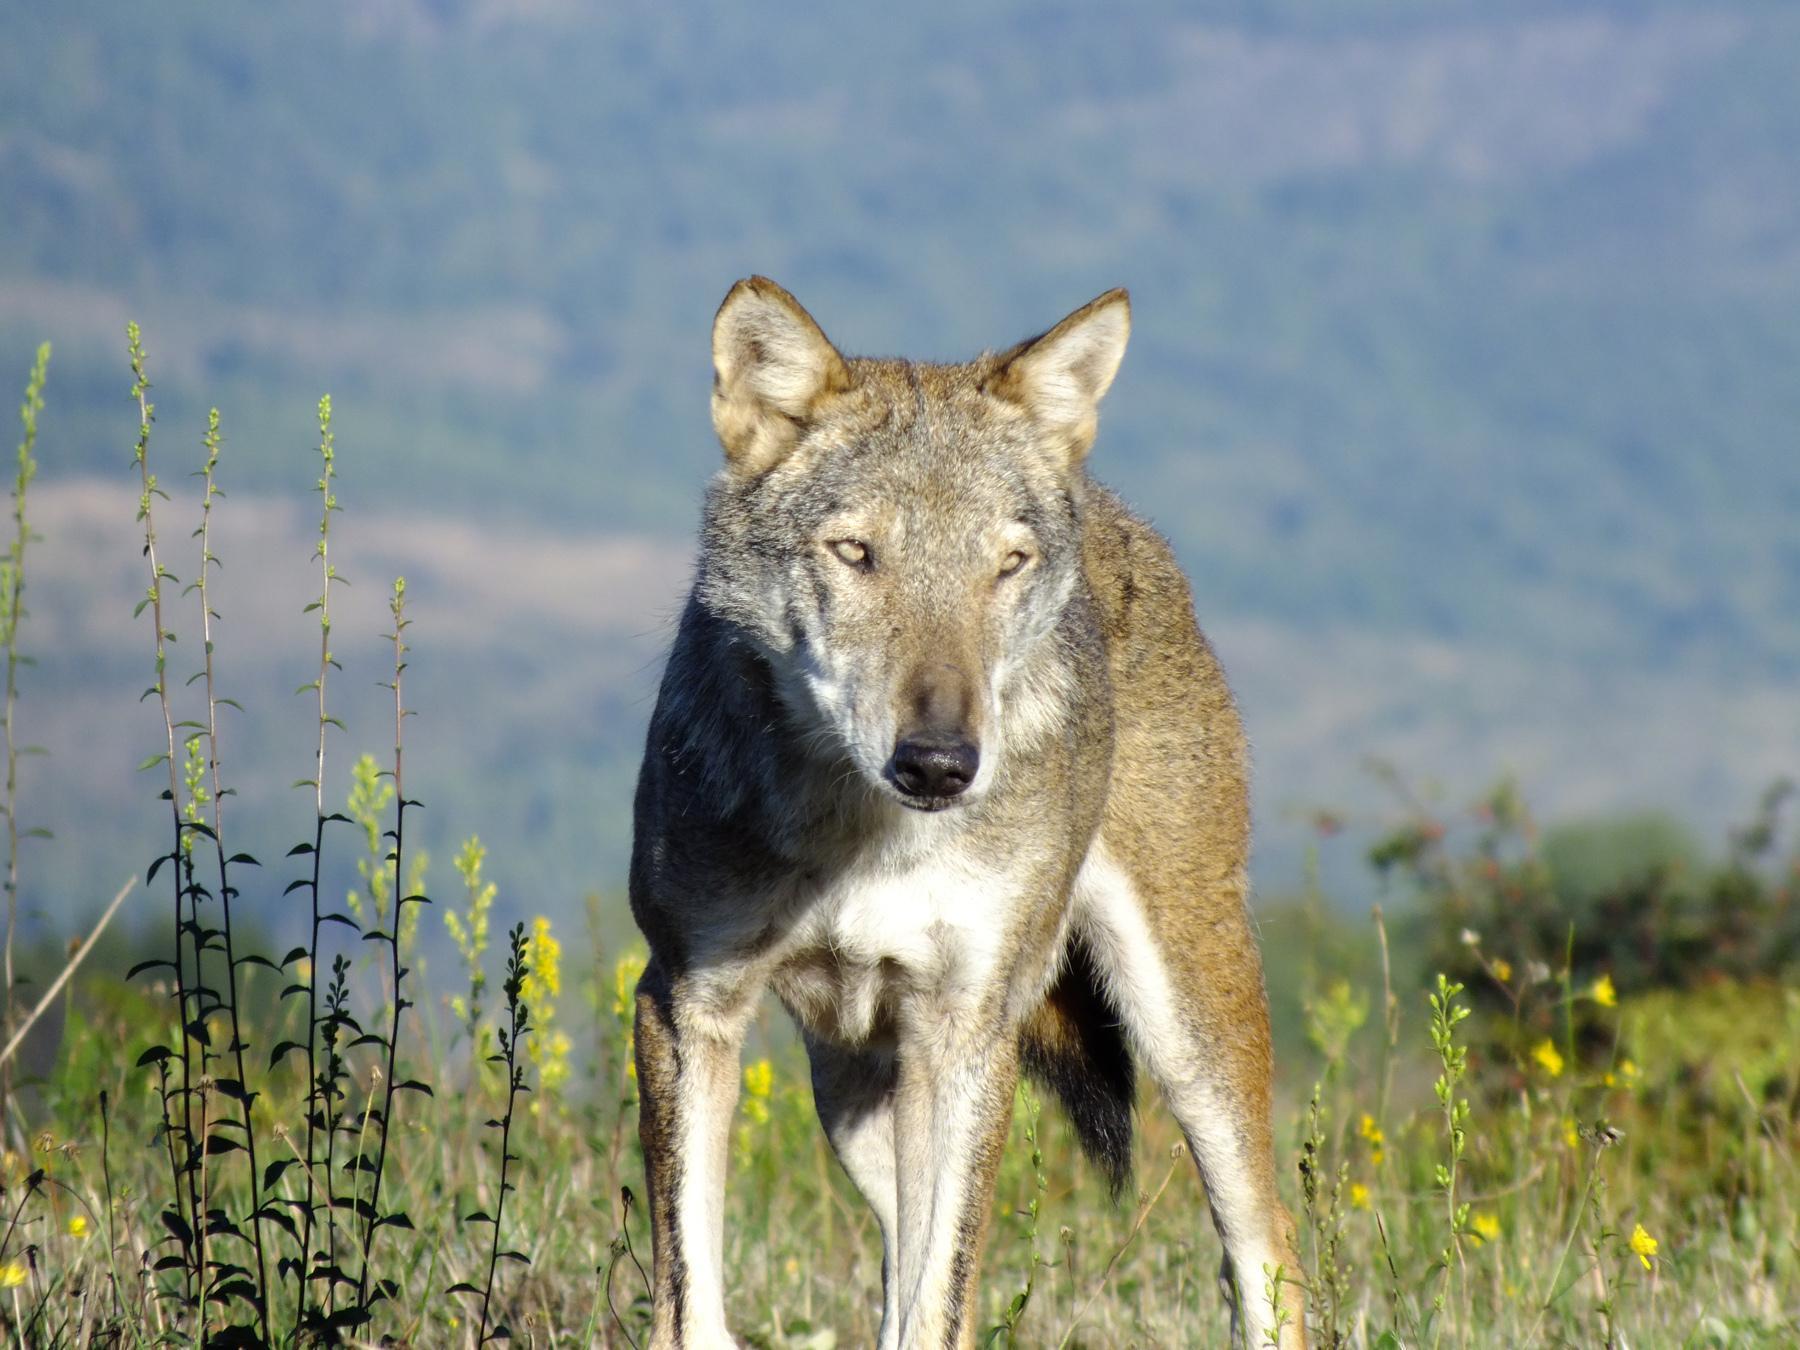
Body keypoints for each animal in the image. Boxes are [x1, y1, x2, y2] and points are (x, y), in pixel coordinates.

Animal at [629, 277, 1305, 1349]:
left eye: (1007, 563)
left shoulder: (970, 1028)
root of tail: (1114, 510)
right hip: (859, 1102)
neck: (863, 836)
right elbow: (693, 1301)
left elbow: (934, 1311)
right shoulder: (686, 1000)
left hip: (1186, 1037)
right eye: (856, 553)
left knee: (1268, 1249)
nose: (941, 762)